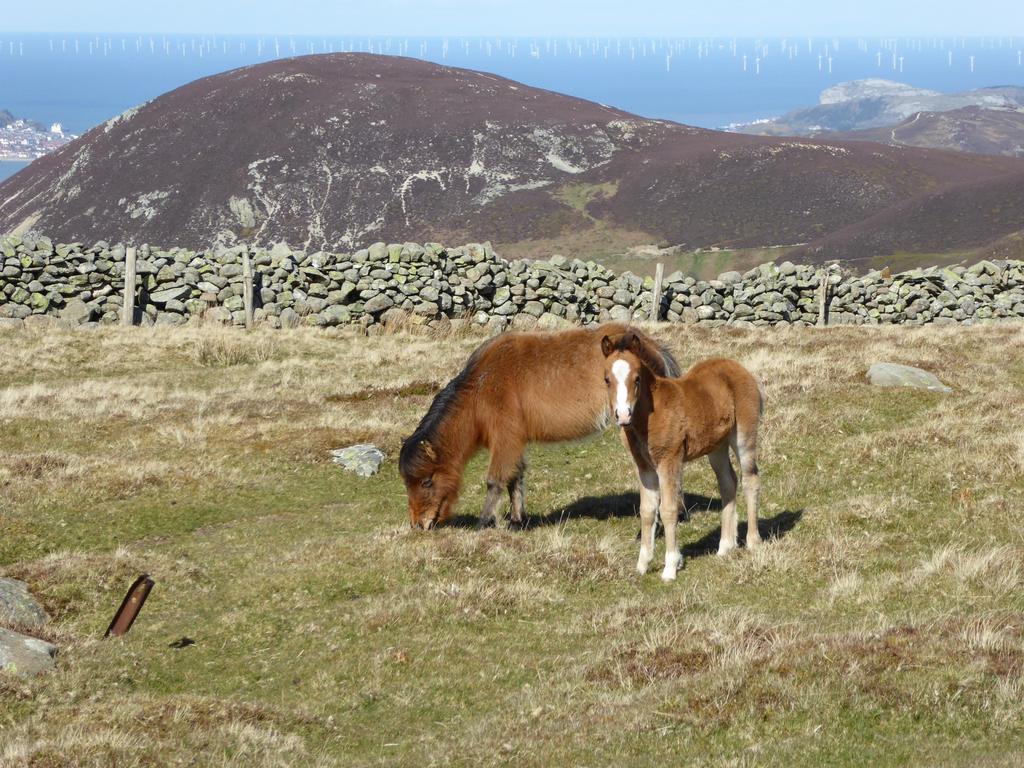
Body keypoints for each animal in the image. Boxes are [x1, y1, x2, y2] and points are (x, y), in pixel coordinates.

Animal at [399, 323, 679, 528]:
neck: (481, 389)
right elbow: (515, 478)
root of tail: (653, 346)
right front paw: (517, 520)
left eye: (426, 482)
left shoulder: (505, 440)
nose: (418, 525)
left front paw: (483, 523)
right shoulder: (514, 442)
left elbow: (495, 480)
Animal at [598, 331, 761, 581]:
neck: (648, 417)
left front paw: (670, 567)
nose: (623, 415)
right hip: (716, 446)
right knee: (728, 482)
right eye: (607, 379)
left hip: (743, 436)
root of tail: (738, 368)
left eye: (637, 378)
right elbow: (647, 511)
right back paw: (725, 547)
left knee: (750, 479)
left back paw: (753, 542)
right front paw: (642, 565)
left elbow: (668, 509)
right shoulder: (644, 467)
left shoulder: (669, 460)